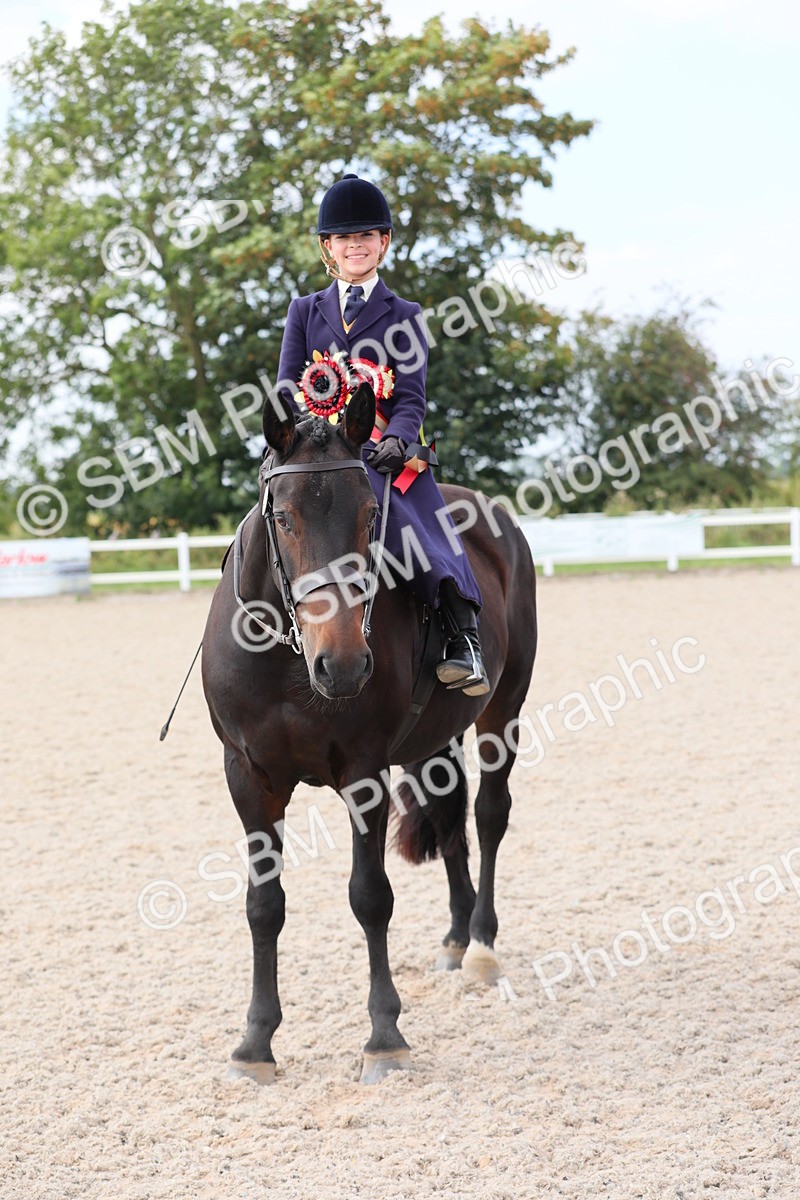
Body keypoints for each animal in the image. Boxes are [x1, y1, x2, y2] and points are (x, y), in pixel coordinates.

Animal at [201, 383, 537, 1084]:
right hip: (432, 742)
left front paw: (384, 1036)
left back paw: (482, 946)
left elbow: (370, 896)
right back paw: (456, 937)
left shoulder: (364, 774)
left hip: (503, 710)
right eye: (284, 519)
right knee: (448, 817)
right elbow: (262, 905)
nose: (345, 663)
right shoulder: (248, 777)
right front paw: (255, 1043)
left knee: (489, 814)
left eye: (368, 516)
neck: (291, 662)